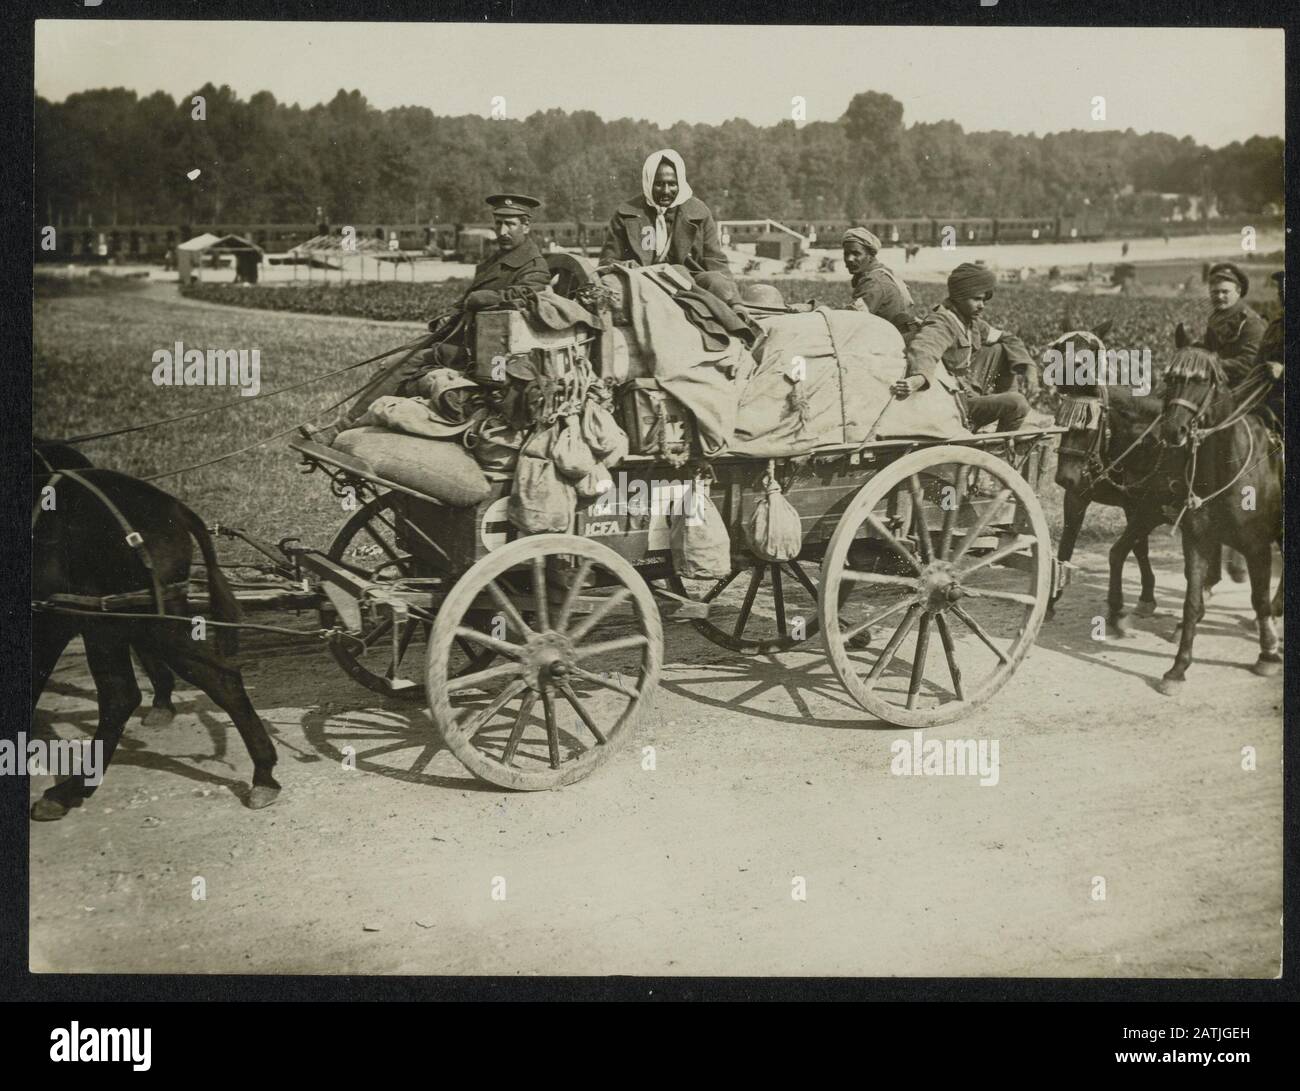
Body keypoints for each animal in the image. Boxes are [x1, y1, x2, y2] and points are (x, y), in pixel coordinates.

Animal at [1159, 345, 1279, 696]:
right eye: (1170, 378)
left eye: (1202, 381)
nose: (1173, 430)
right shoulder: (1197, 541)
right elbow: (1191, 600)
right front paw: (1178, 667)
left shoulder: (1258, 547)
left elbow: (1259, 598)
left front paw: (1268, 654)